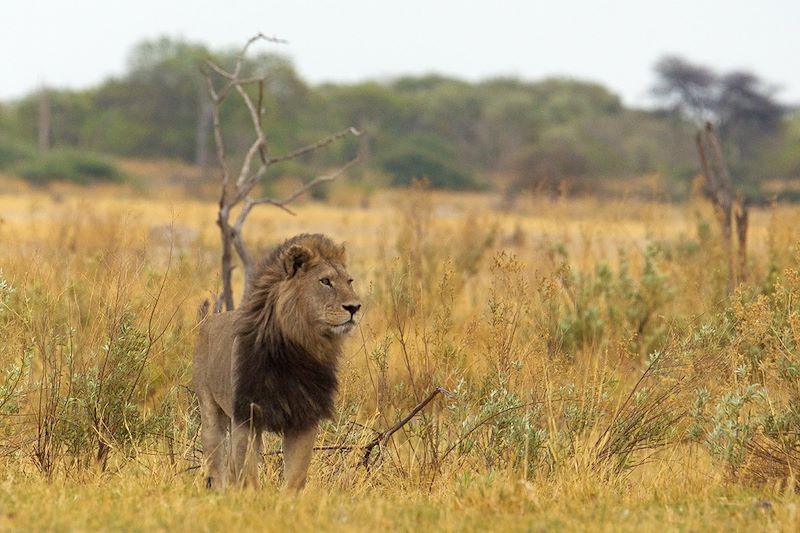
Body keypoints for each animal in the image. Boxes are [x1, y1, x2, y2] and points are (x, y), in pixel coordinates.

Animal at [192, 234, 360, 490]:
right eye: (325, 281)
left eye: (349, 281)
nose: (354, 307)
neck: (298, 350)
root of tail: (209, 320)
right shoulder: (247, 415)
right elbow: (248, 476)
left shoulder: (304, 418)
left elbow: (295, 477)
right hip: (211, 411)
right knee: (215, 468)